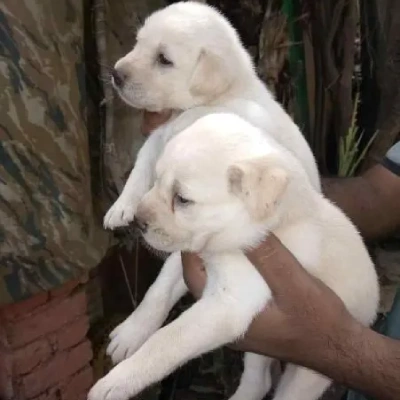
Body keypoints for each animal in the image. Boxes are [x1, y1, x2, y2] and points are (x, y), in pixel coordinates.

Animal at [89, 113, 380, 400]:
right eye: (156, 179)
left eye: (182, 199)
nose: (138, 222)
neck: (226, 241)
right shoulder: (190, 254)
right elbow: (157, 293)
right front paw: (130, 335)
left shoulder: (227, 306)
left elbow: (167, 341)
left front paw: (116, 382)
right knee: (258, 381)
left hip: (309, 374)